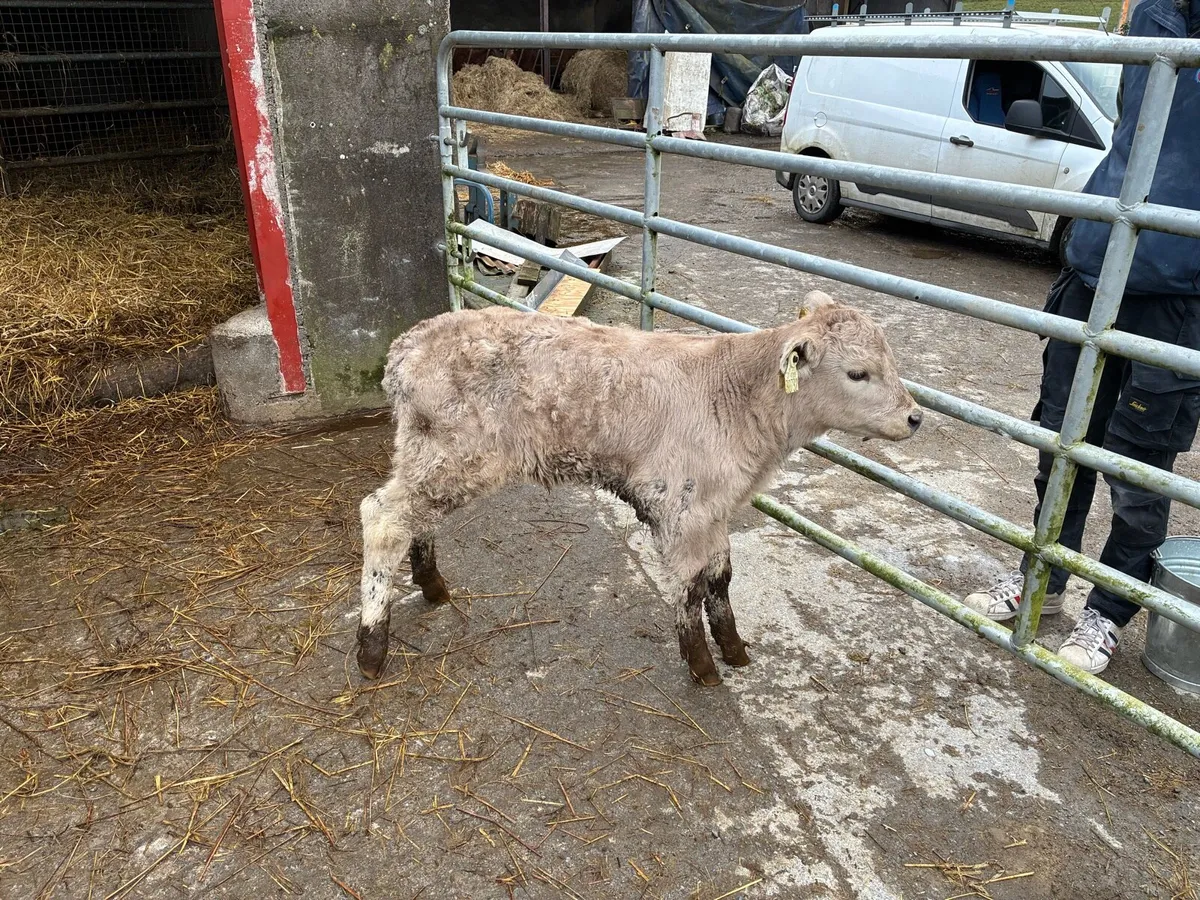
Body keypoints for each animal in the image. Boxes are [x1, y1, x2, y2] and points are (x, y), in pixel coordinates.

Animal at [356, 290, 921, 685]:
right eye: (858, 373)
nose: (915, 417)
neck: (734, 395)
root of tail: (404, 349)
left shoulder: (714, 507)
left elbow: (720, 578)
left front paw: (734, 649)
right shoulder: (679, 504)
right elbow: (690, 586)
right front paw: (702, 666)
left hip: (430, 457)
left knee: (415, 519)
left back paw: (431, 585)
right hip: (452, 456)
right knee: (383, 518)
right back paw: (371, 646)